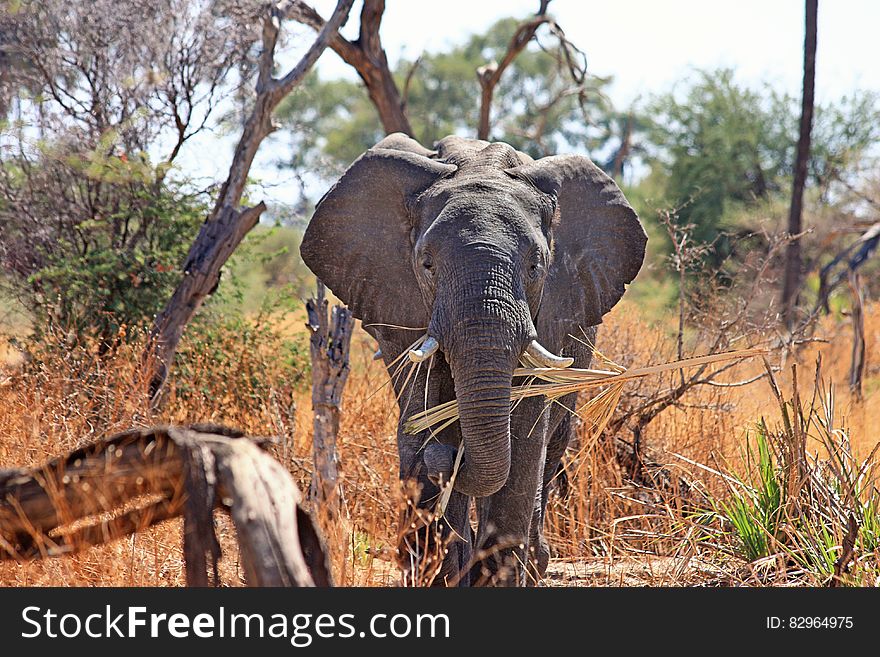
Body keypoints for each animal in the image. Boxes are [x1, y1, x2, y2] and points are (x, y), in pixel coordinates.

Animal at [302, 132, 648, 584]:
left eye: (535, 266)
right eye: (427, 264)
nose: (449, 458)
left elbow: (523, 436)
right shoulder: (402, 308)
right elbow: (422, 412)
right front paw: (440, 568)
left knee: (551, 449)